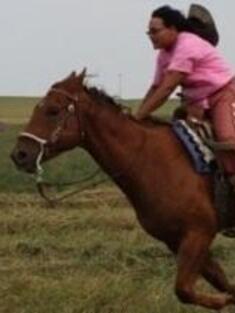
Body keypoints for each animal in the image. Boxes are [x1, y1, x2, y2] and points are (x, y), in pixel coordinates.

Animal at [11, 69, 235, 308]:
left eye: (53, 110)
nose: (20, 154)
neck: (149, 158)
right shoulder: (175, 239)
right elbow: (218, 281)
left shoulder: (199, 232)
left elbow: (184, 289)